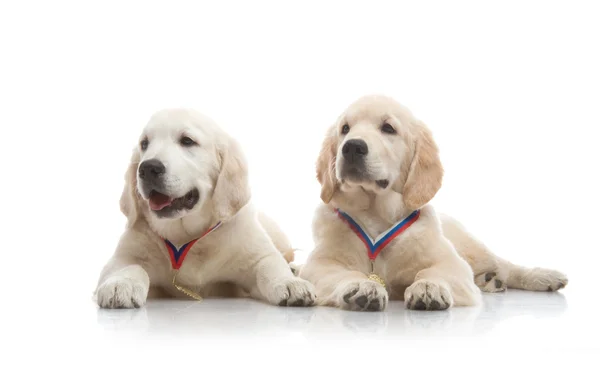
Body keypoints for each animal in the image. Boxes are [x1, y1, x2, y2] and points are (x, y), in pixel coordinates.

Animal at [94, 108, 316, 310]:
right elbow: (130, 266)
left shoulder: (255, 254)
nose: (147, 168)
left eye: (187, 141)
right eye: (144, 144)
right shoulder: (122, 257)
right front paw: (120, 284)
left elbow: (270, 265)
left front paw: (291, 283)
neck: (187, 237)